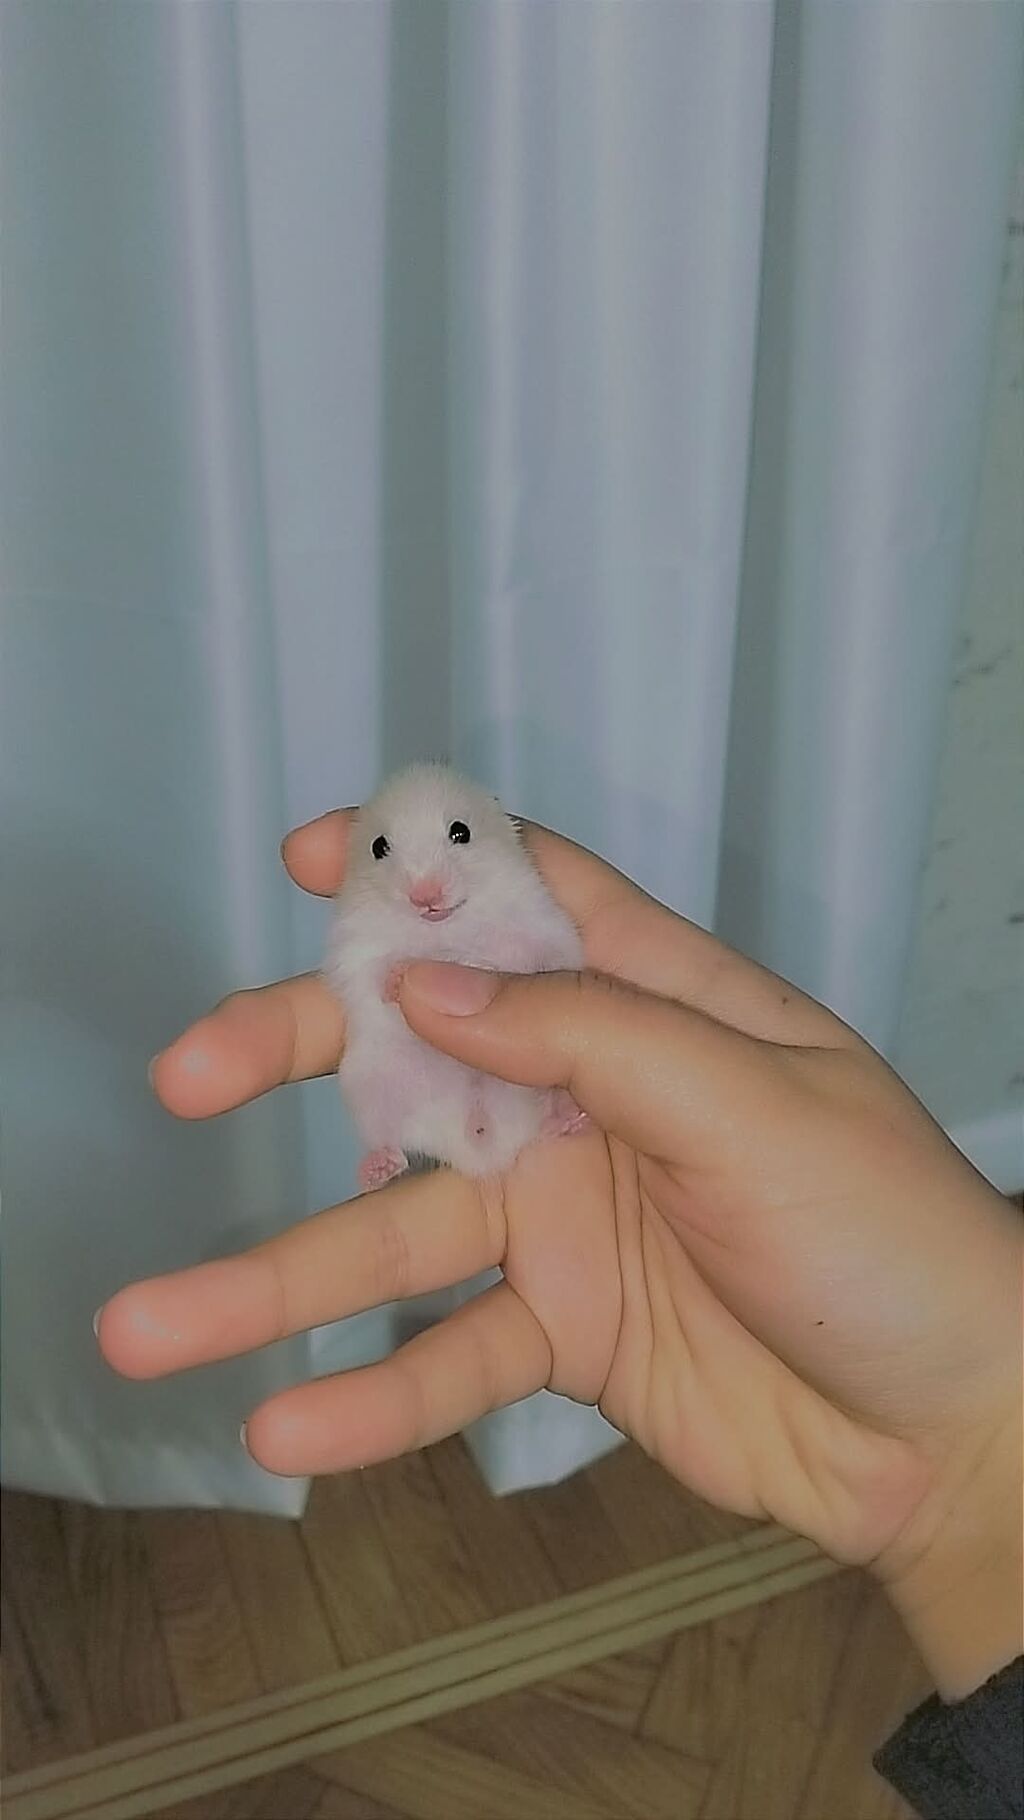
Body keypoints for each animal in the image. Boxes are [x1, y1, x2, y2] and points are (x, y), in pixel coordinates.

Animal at [324, 762, 588, 1189]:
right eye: (378, 847)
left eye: (460, 832)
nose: (425, 896)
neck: (444, 928)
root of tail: (480, 1146)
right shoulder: (357, 951)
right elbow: (376, 972)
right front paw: (402, 976)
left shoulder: (541, 925)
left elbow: (524, 953)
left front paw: (479, 964)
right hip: (370, 1081)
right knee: (386, 1136)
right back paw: (377, 1170)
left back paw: (568, 1118)